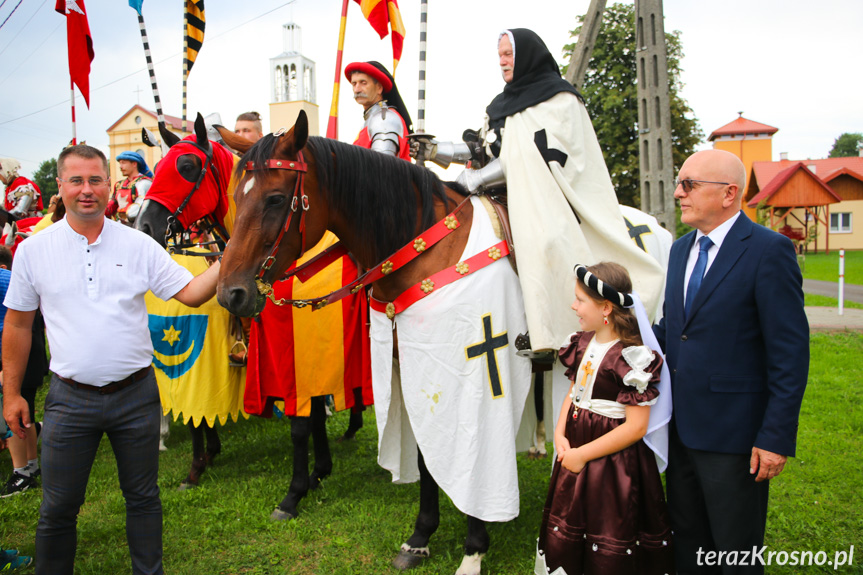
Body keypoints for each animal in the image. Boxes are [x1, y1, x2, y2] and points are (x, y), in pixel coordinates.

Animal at [219, 109, 528, 575]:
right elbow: (424, 456)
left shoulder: (477, 373)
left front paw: (474, 549)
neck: (425, 248)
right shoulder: (411, 368)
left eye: (274, 199)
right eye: (236, 197)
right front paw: (420, 537)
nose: (230, 294)